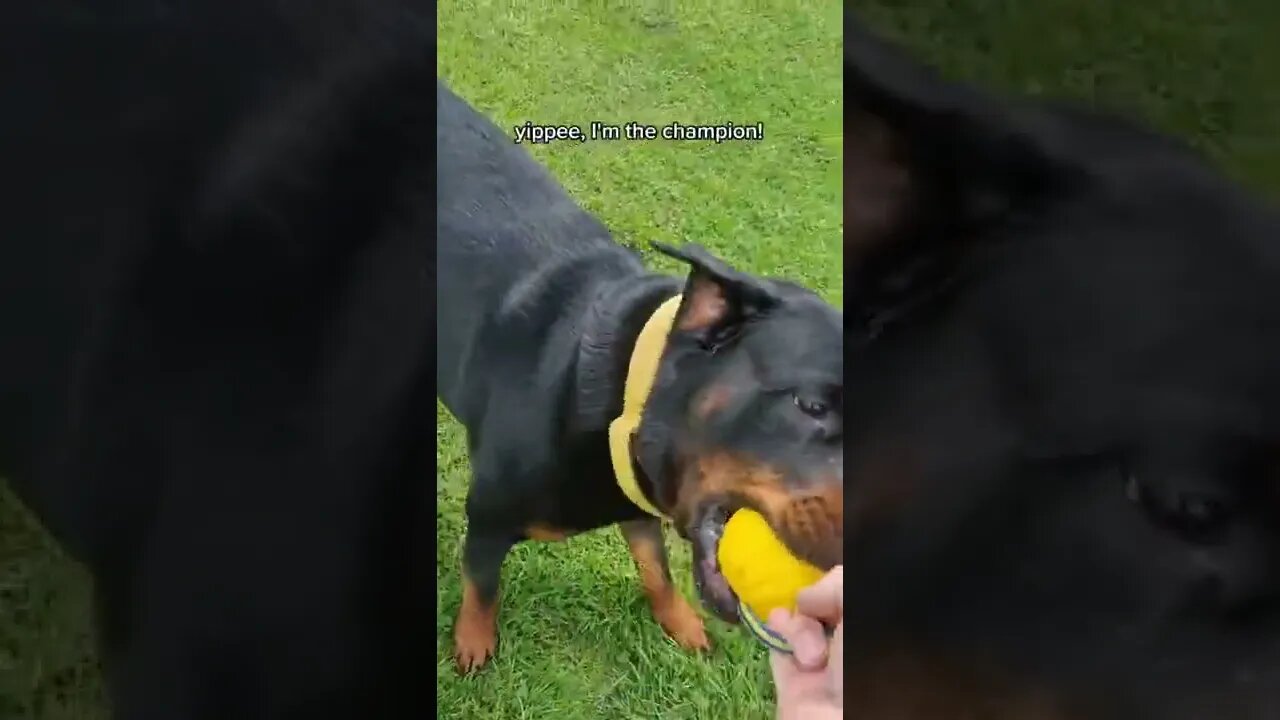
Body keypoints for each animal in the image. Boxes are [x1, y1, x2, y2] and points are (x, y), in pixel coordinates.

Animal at [435, 81, 844, 671]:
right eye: (810, 405)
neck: (620, 393)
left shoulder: (637, 499)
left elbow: (657, 569)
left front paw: (682, 625)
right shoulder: (488, 516)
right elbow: (482, 589)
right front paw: (472, 646)